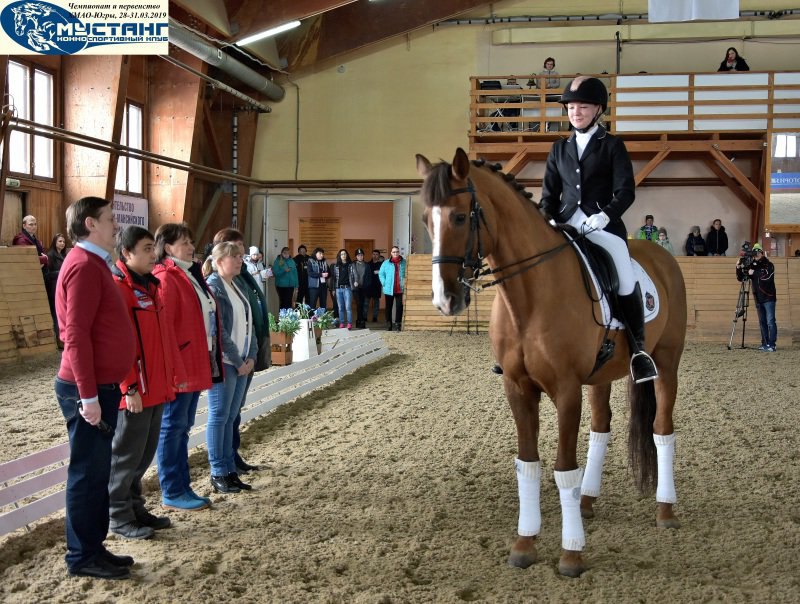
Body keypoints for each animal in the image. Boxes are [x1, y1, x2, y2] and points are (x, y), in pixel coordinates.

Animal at [416, 149, 684, 580]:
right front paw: (524, 546)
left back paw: (665, 510)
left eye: (458, 217)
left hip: (666, 362)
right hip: (601, 376)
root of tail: (662, 257)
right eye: (426, 219)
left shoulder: (566, 389)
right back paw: (587, 502)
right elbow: (528, 465)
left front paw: (571, 554)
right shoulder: (518, 388)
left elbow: (562, 468)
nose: (445, 300)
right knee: (601, 429)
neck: (529, 295)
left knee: (662, 430)